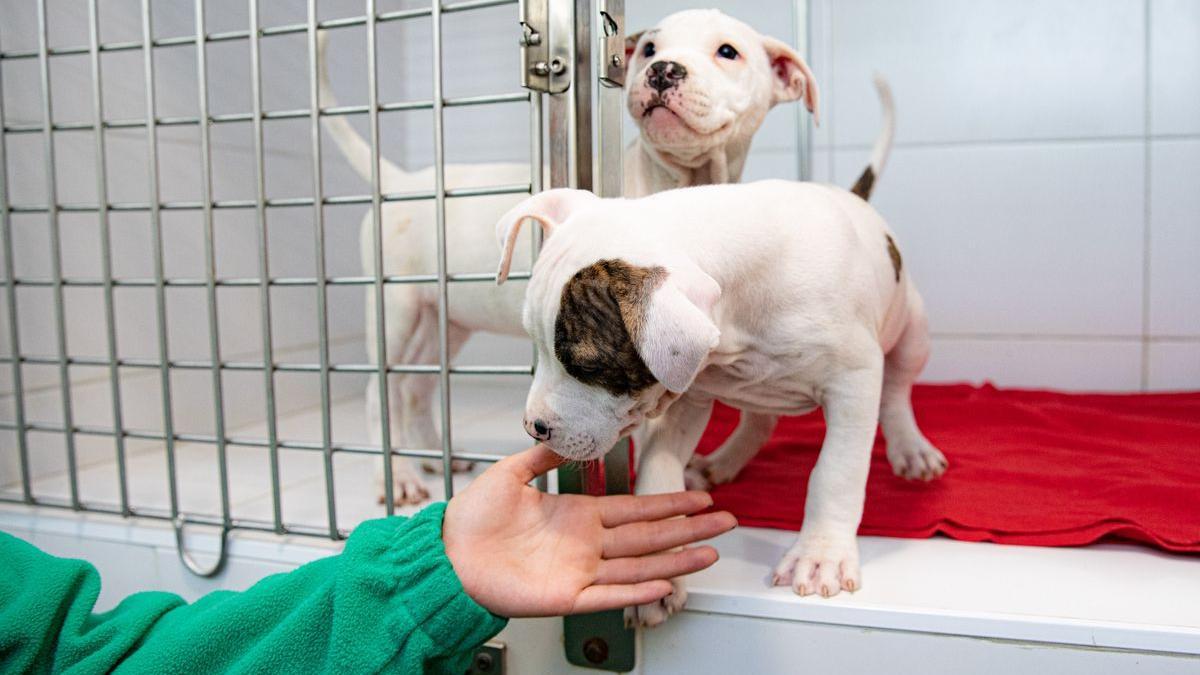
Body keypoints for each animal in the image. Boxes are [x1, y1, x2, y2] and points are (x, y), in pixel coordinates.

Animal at [496, 90, 945, 624]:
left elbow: (837, 469)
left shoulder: (854, 380)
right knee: (761, 418)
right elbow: (657, 466)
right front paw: (658, 561)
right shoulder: (686, 395)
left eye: (586, 366)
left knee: (897, 389)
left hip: (912, 329)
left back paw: (910, 447)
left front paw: (821, 555)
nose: (532, 428)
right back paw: (722, 462)